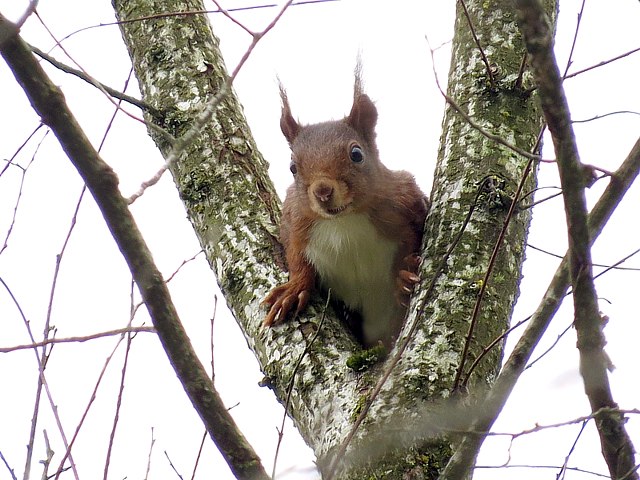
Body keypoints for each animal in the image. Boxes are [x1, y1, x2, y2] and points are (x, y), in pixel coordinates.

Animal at [262, 72, 428, 344]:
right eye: (292, 167)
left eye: (357, 154)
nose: (322, 191)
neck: (343, 221)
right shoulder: (295, 222)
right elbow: (296, 257)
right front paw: (294, 288)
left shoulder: (406, 200)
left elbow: (414, 238)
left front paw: (405, 273)